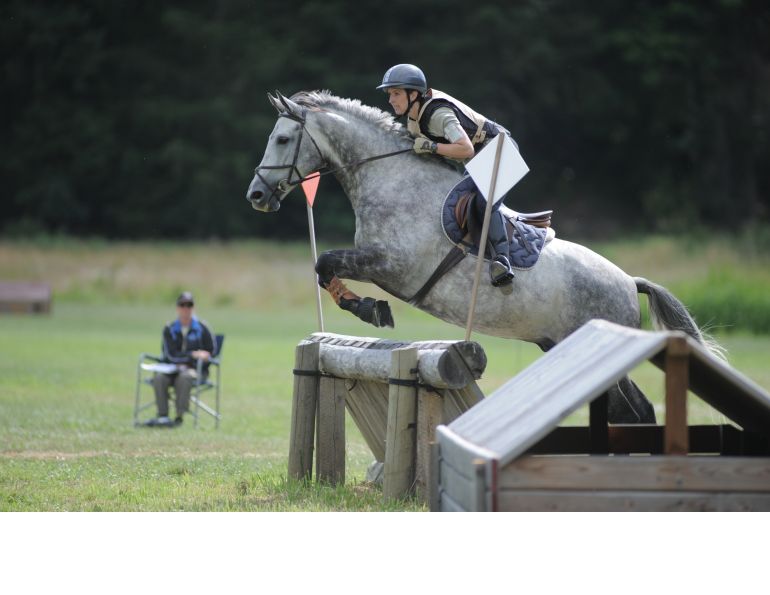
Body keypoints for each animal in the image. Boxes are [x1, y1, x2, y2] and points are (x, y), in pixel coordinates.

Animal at [246, 90, 720, 424]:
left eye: (283, 139)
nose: (256, 196)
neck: (389, 177)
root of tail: (628, 282)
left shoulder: (392, 266)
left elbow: (325, 260)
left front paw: (370, 309)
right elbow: (322, 267)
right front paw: (366, 308)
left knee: (635, 411)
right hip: (561, 344)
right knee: (632, 411)